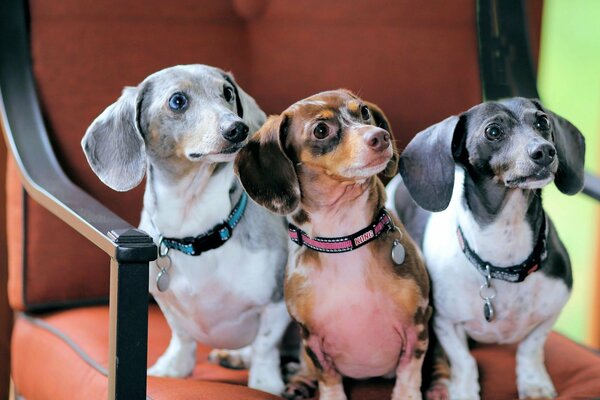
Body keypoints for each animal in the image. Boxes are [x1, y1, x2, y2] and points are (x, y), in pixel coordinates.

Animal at [236, 90, 432, 400]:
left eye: (364, 112)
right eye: (320, 130)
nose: (380, 137)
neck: (344, 240)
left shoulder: (418, 323)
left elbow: (409, 373)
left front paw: (407, 395)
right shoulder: (312, 338)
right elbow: (327, 376)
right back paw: (299, 382)